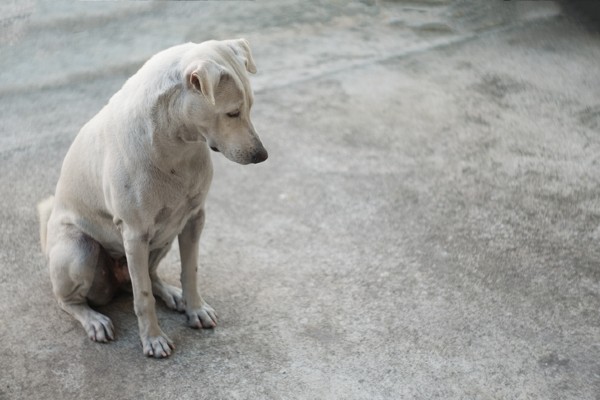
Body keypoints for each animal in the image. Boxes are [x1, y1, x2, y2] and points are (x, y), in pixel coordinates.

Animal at [37, 39, 268, 358]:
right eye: (232, 113)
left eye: (250, 107)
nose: (262, 156)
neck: (175, 142)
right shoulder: (135, 234)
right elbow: (143, 296)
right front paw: (153, 339)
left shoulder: (194, 218)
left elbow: (190, 271)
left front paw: (194, 308)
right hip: (80, 250)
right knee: (72, 299)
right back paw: (94, 319)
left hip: (163, 238)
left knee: (148, 276)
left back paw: (171, 293)